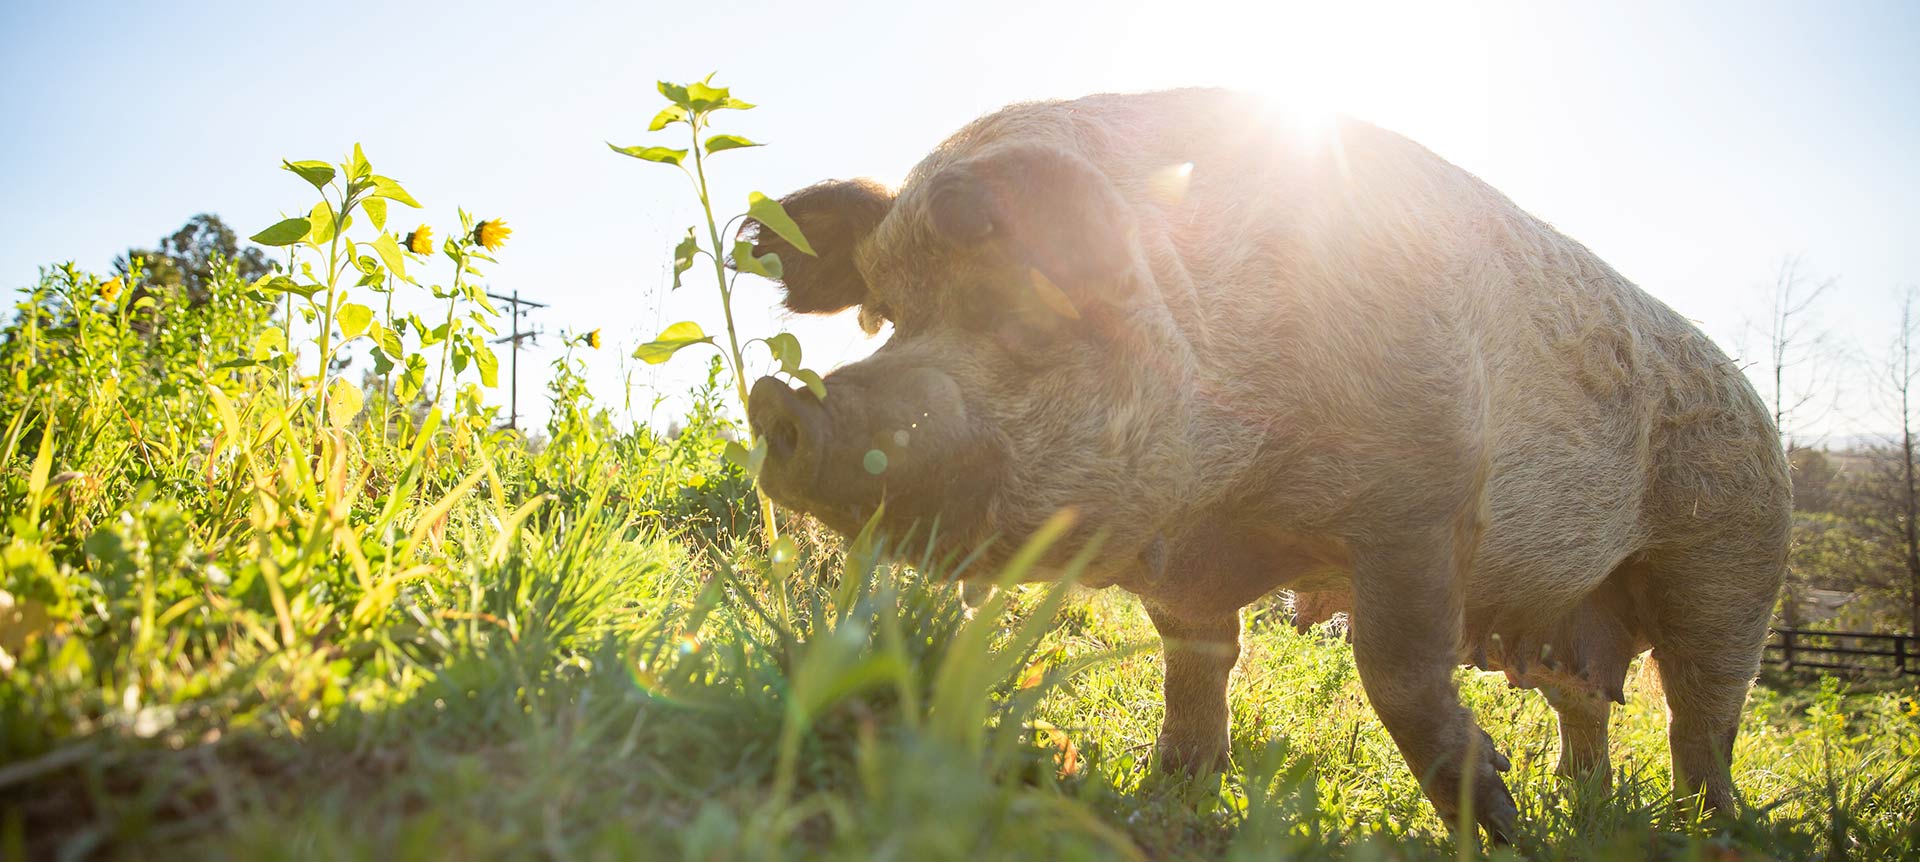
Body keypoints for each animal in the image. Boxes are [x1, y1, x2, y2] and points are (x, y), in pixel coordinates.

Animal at [741, 87, 1789, 833]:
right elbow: (1197, 660)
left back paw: (1709, 828)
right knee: (1590, 704)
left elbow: (1397, 666)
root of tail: (1765, 416)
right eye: (887, 314)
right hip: (1593, 616)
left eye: (1025, 316)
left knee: (1702, 717)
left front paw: (1495, 820)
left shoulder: (1429, 492)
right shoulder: (1189, 566)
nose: (782, 405)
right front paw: (1169, 793)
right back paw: (1584, 807)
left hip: (1736, 564)